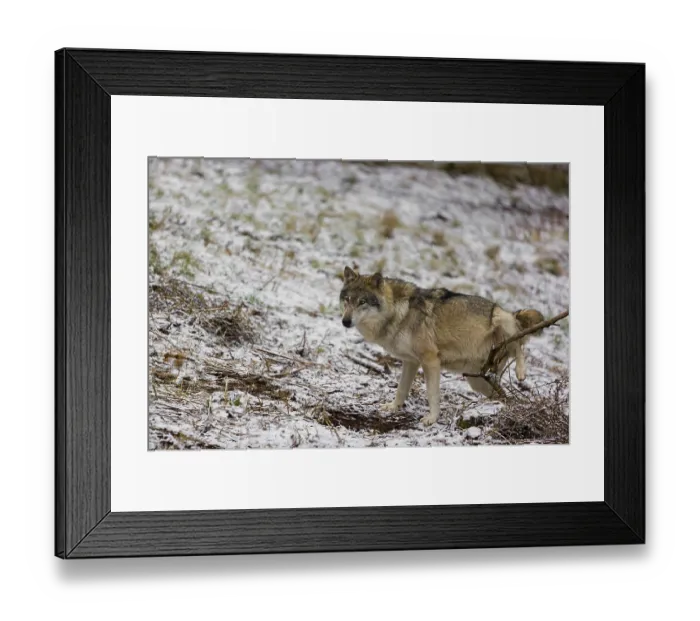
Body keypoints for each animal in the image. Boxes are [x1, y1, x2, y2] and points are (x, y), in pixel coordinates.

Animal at [339, 266, 545, 426]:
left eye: (362, 302)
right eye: (347, 300)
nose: (345, 321)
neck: (399, 313)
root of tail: (507, 310)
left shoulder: (430, 360)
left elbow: (432, 394)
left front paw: (431, 419)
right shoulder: (410, 362)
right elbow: (401, 389)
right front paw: (393, 408)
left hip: (501, 320)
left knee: (519, 345)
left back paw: (520, 373)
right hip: (477, 381)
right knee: (502, 394)